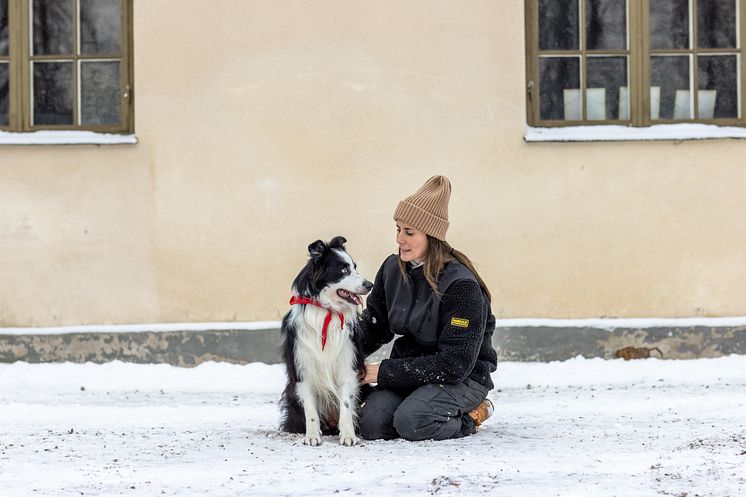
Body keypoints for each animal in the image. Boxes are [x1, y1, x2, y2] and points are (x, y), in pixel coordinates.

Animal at [280, 236, 372, 446]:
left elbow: (346, 404)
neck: (327, 310)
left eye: (355, 267)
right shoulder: (303, 368)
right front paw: (312, 436)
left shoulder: (348, 365)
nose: (370, 285)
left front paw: (348, 435)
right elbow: (310, 409)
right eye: (343, 270)